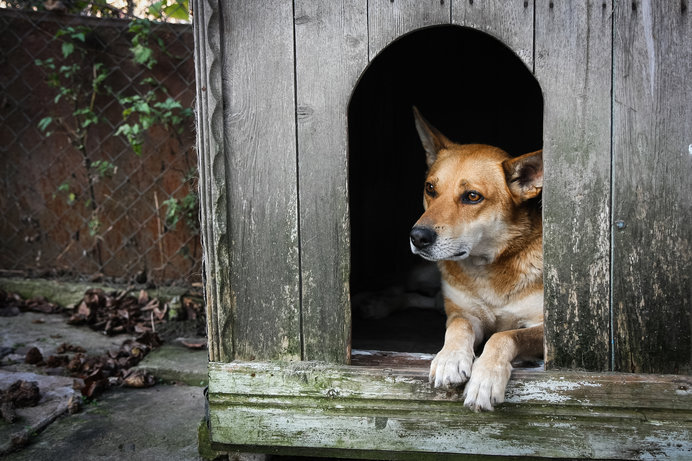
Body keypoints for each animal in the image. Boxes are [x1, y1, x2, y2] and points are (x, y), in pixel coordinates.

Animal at [408, 107, 544, 410]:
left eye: (472, 196)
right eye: (430, 188)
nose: (417, 237)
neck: (487, 268)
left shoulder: (546, 328)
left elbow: (504, 335)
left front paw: (485, 378)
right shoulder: (465, 313)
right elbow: (459, 326)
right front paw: (449, 359)